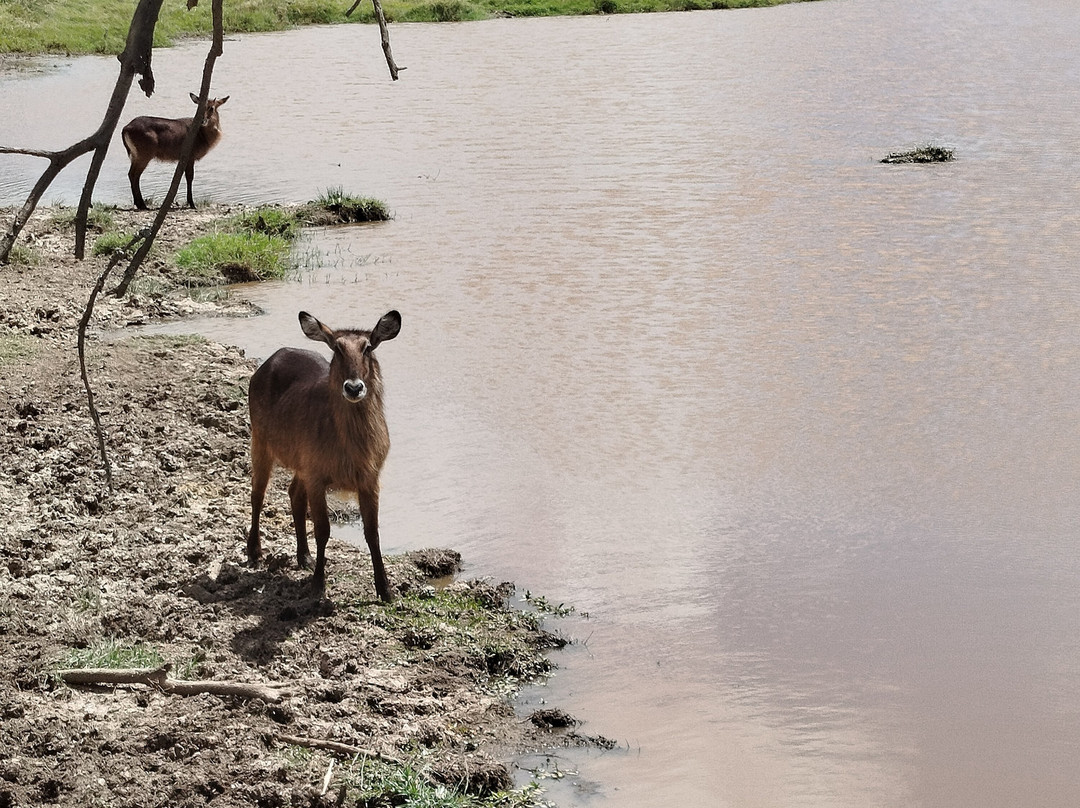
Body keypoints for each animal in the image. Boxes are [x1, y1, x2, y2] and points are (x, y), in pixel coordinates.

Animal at [247, 308, 403, 600]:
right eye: (337, 348)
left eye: (367, 347)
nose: (354, 388)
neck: (351, 447)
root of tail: (275, 356)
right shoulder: (317, 478)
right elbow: (323, 530)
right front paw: (318, 584)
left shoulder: (369, 480)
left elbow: (372, 533)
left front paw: (385, 589)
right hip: (260, 444)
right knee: (257, 495)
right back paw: (254, 552)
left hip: (300, 465)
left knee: (294, 494)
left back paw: (304, 557)